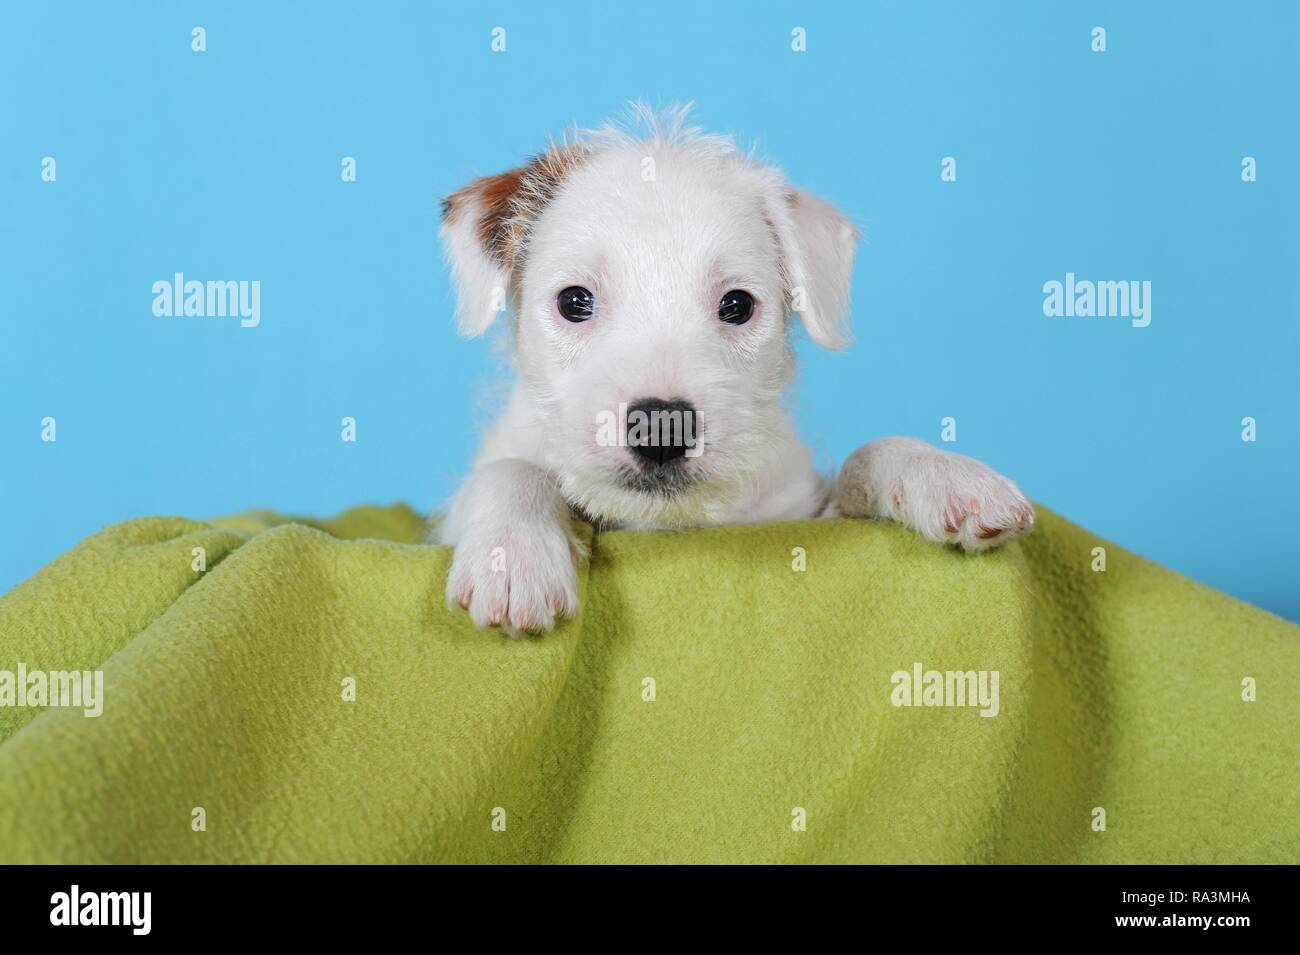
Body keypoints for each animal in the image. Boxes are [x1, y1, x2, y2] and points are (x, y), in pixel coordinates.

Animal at [436, 110, 1034, 634]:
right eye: (574, 301)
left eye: (737, 305)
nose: (661, 428)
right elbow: (510, 469)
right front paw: (512, 553)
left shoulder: (797, 512)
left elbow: (863, 458)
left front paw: (948, 476)